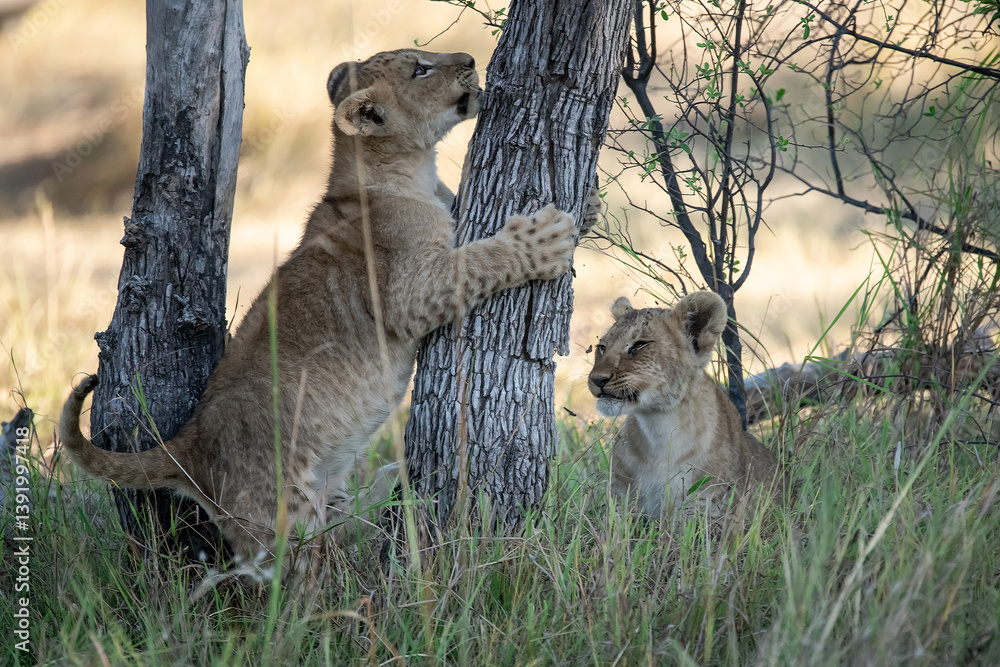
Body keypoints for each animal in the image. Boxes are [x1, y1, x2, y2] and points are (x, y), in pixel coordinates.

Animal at [59, 49, 581, 564]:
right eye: (419, 69)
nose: (471, 59)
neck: (407, 172)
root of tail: (189, 445)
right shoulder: (411, 293)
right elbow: (478, 260)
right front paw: (544, 238)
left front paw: (589, 205)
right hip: (283, 516)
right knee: (300, 569)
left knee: (339, 529)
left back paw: (388, 485)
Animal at [588, 291, 784, 517]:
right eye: (602, 347)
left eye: (639, 345)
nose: (597, 379)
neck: (659, 427)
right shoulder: (621, 499)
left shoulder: (710, 506)